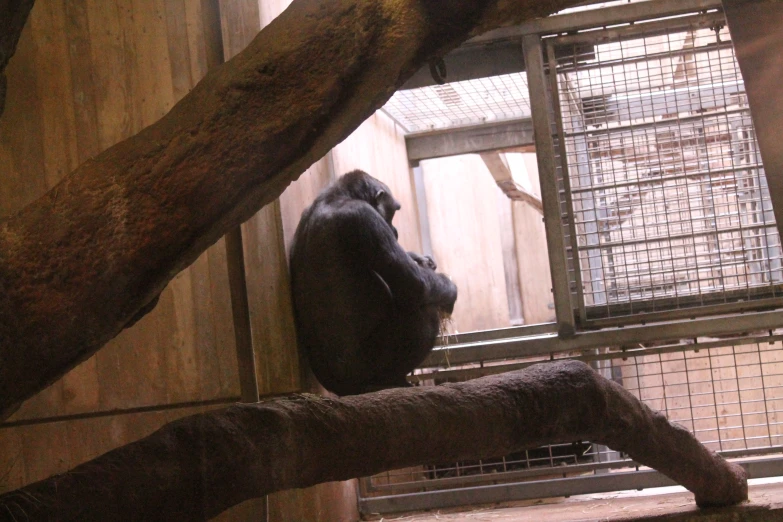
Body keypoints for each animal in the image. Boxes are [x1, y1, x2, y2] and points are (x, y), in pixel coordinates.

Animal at [290, 171, 456, 394]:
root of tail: (341, 389)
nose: (395, 229)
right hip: (368, 368)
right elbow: (415, 284)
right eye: (394, 211)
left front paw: (420, 259)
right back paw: (390, 380)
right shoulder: (364, 217)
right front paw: (450, 291)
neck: (334, 197)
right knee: (423, 308)